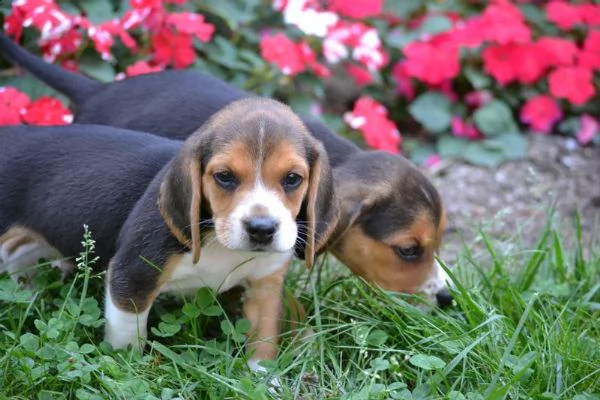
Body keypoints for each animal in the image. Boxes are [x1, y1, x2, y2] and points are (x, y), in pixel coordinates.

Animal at [0, 97, 338, 368]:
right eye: (224, 177)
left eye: (293, 179)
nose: (262, 229)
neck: (220, 242)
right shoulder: (132, 276)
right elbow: (128, 334)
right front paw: (127, 366)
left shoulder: (264, 286)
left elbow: (264, 339)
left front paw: (265, 380)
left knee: (17, 250)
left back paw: (27, 290)